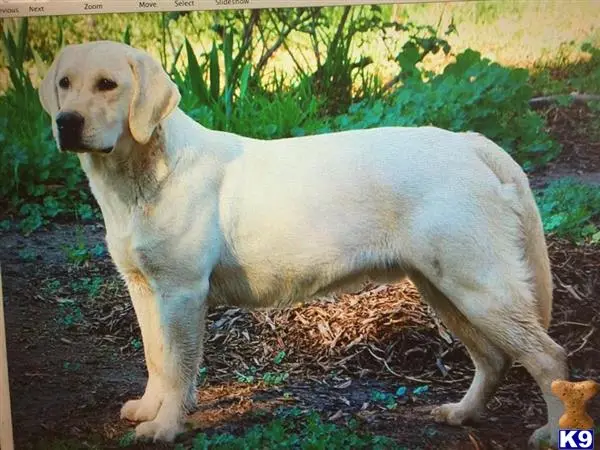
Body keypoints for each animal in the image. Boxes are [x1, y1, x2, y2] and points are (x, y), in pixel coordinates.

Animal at [41, 40, 568, 448]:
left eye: (108, 84)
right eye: (64, 83)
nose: (66, 122)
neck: (145, 170)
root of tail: (470, 142)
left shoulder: (182, 291)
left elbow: (178, 366)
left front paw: (166, 426)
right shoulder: (143, 287)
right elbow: (155, 357)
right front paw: (149, 408)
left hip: (479, 287)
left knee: (549, 357)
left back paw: (553, 430)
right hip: (442, 288)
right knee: (494, 360)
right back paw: (461, 413)